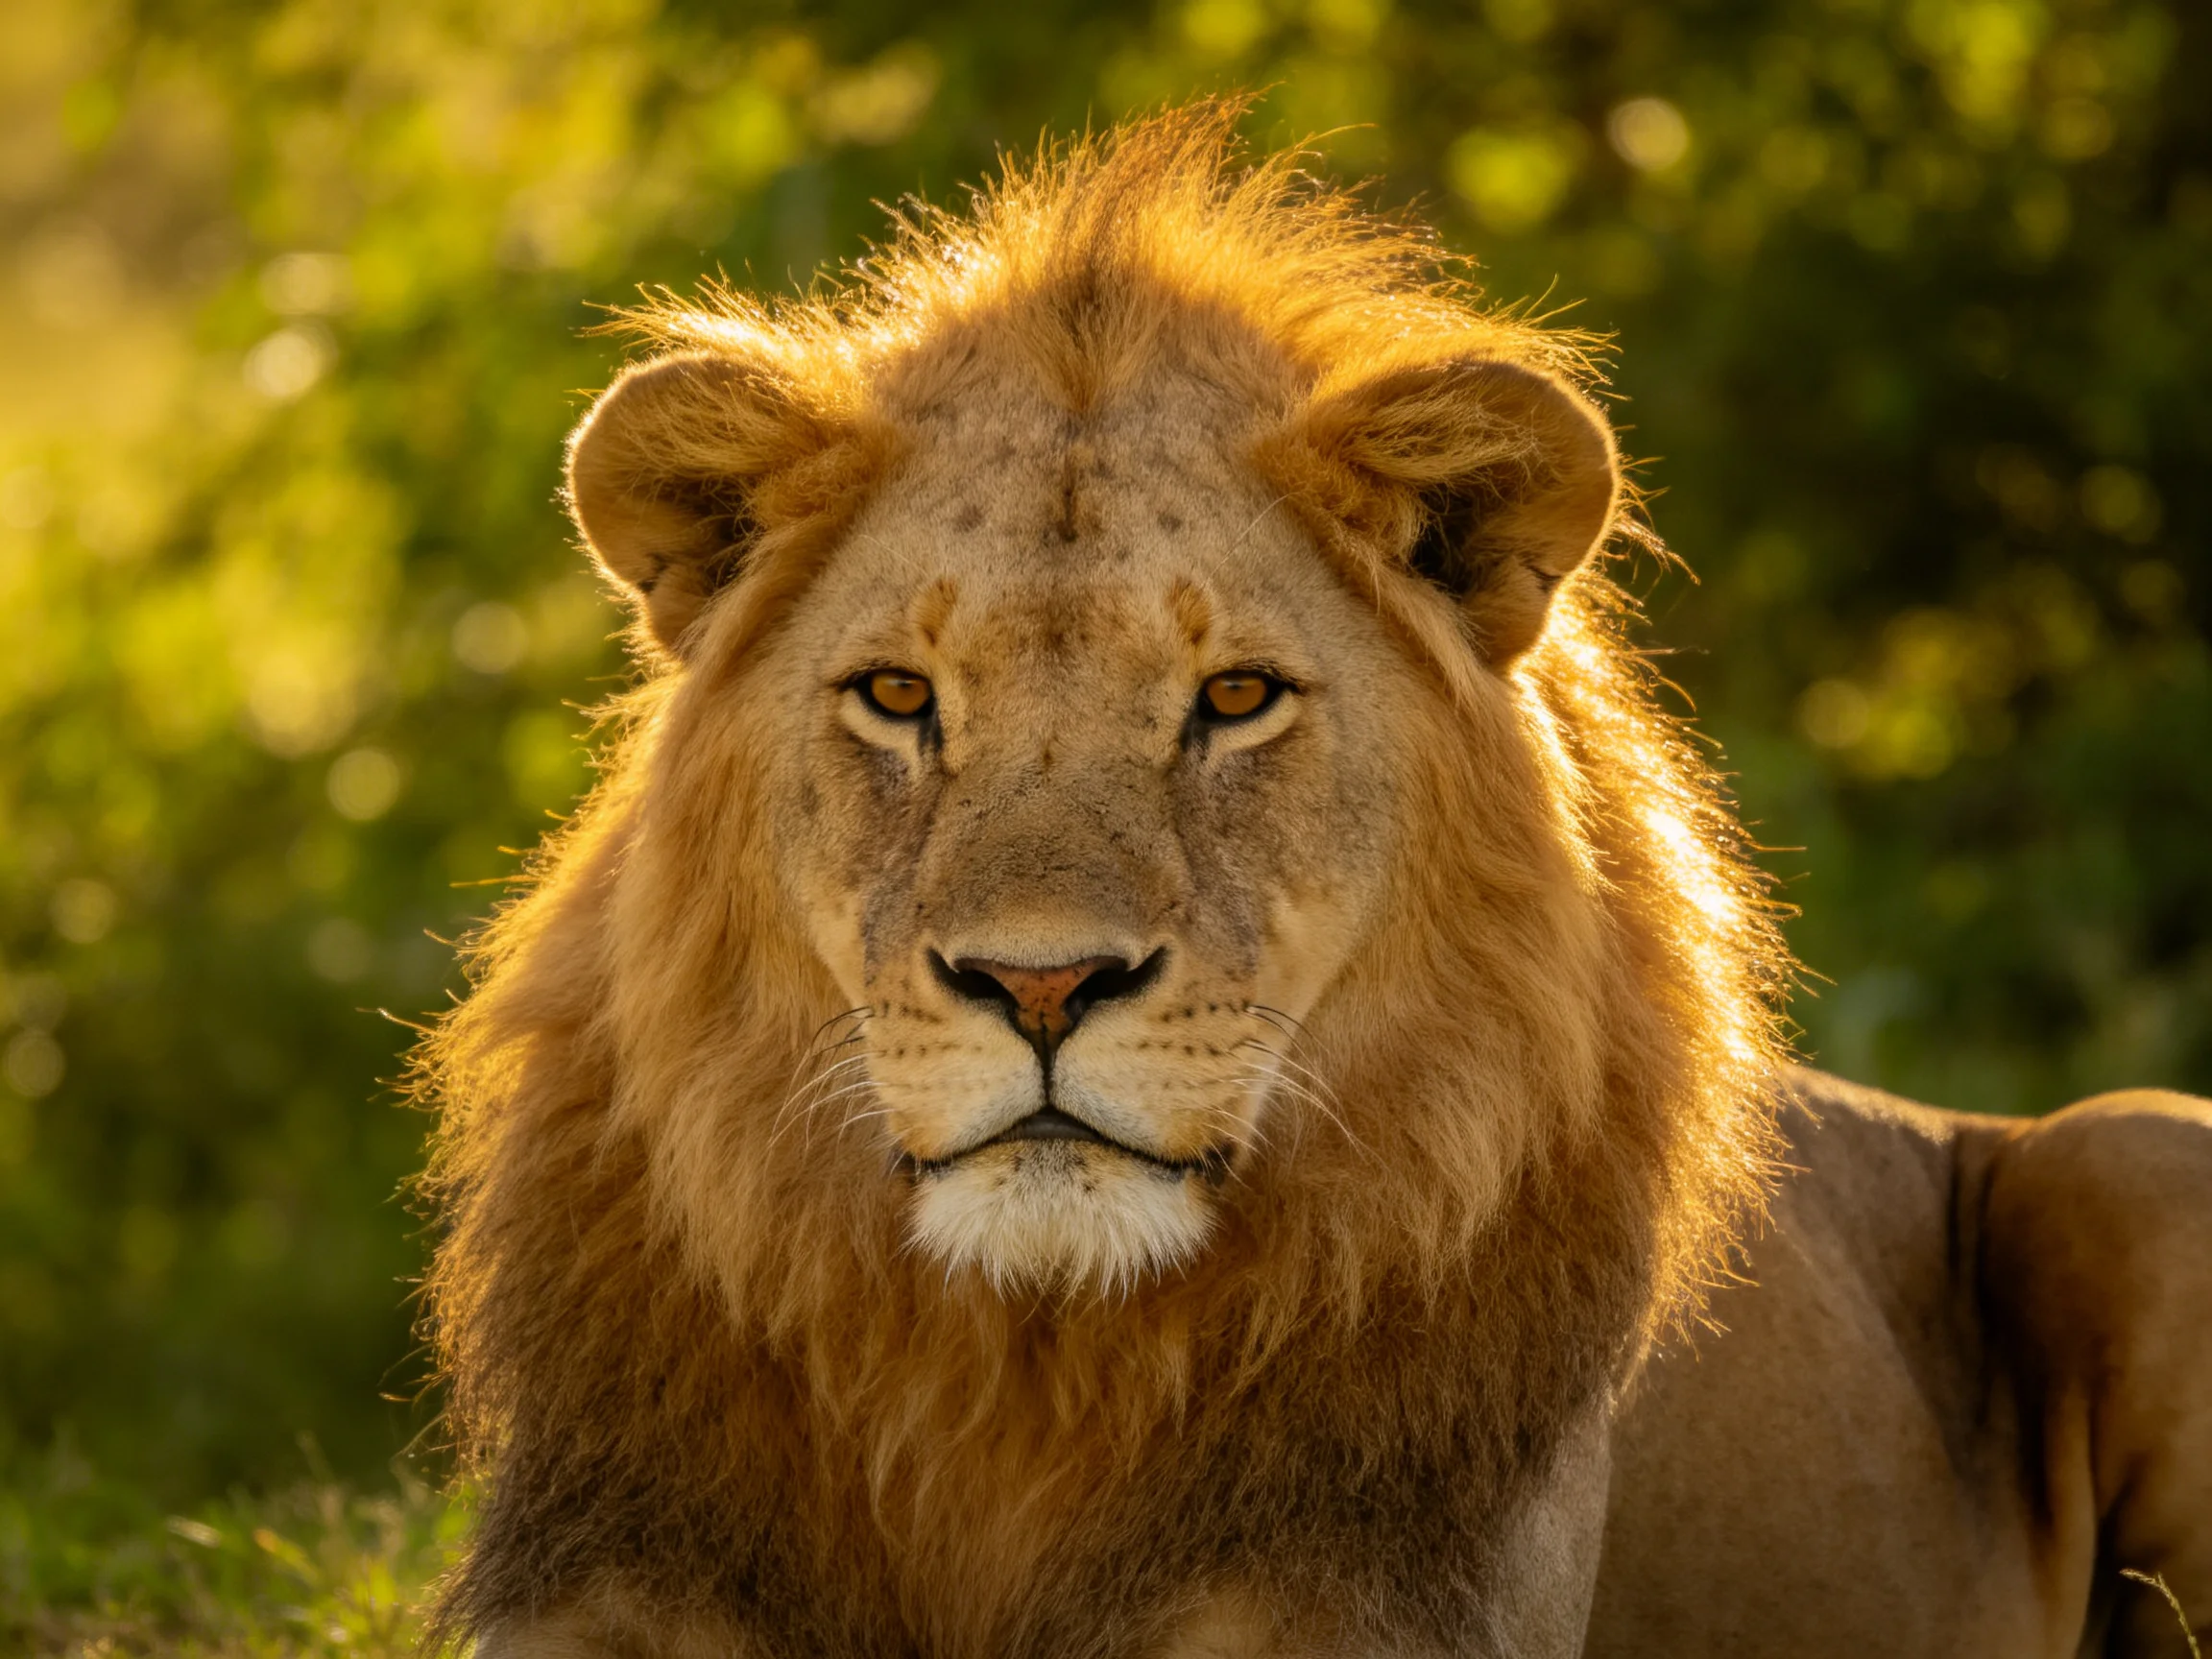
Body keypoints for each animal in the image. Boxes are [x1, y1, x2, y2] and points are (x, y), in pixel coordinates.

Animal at [414, 103, 2210, 1658]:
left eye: (1232, 698)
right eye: (900, 695)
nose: (1040, 984)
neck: (1019, 1364)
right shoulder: (611, 1570)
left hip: (2135, 1150)